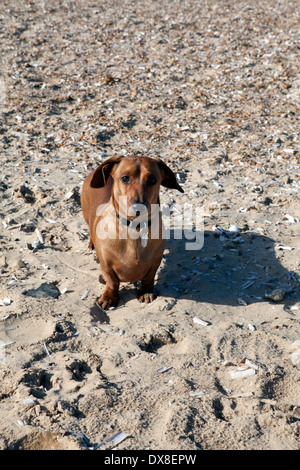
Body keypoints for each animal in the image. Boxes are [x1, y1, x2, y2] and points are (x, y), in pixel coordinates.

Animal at [80, 154, 183, 308]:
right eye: (125, 178)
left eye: (152, 179)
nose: (138, 207)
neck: (135, 228)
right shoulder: (106, 265)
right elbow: (112, 281)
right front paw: (109, 296)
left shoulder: (155, 261)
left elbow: (149, 277)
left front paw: (146, 292)